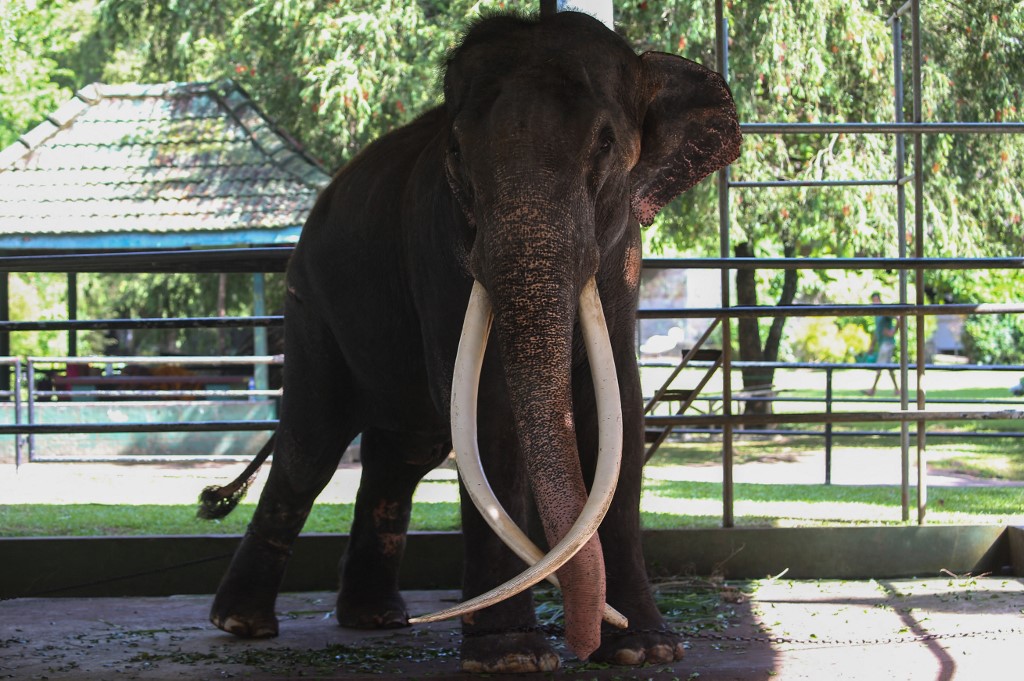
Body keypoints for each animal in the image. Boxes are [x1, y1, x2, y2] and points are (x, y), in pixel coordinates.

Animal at [199, 7, 741, 671]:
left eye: (606, 143)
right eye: (455, 149)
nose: (584, 639)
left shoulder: (625, 261)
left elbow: (621, 415)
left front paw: (646, 650)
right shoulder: (438, 250)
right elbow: (488, 412)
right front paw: (512, 657)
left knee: (400, 457)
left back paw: (377, 619)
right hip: (309, 306)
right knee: (310, 447)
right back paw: (243, 624)